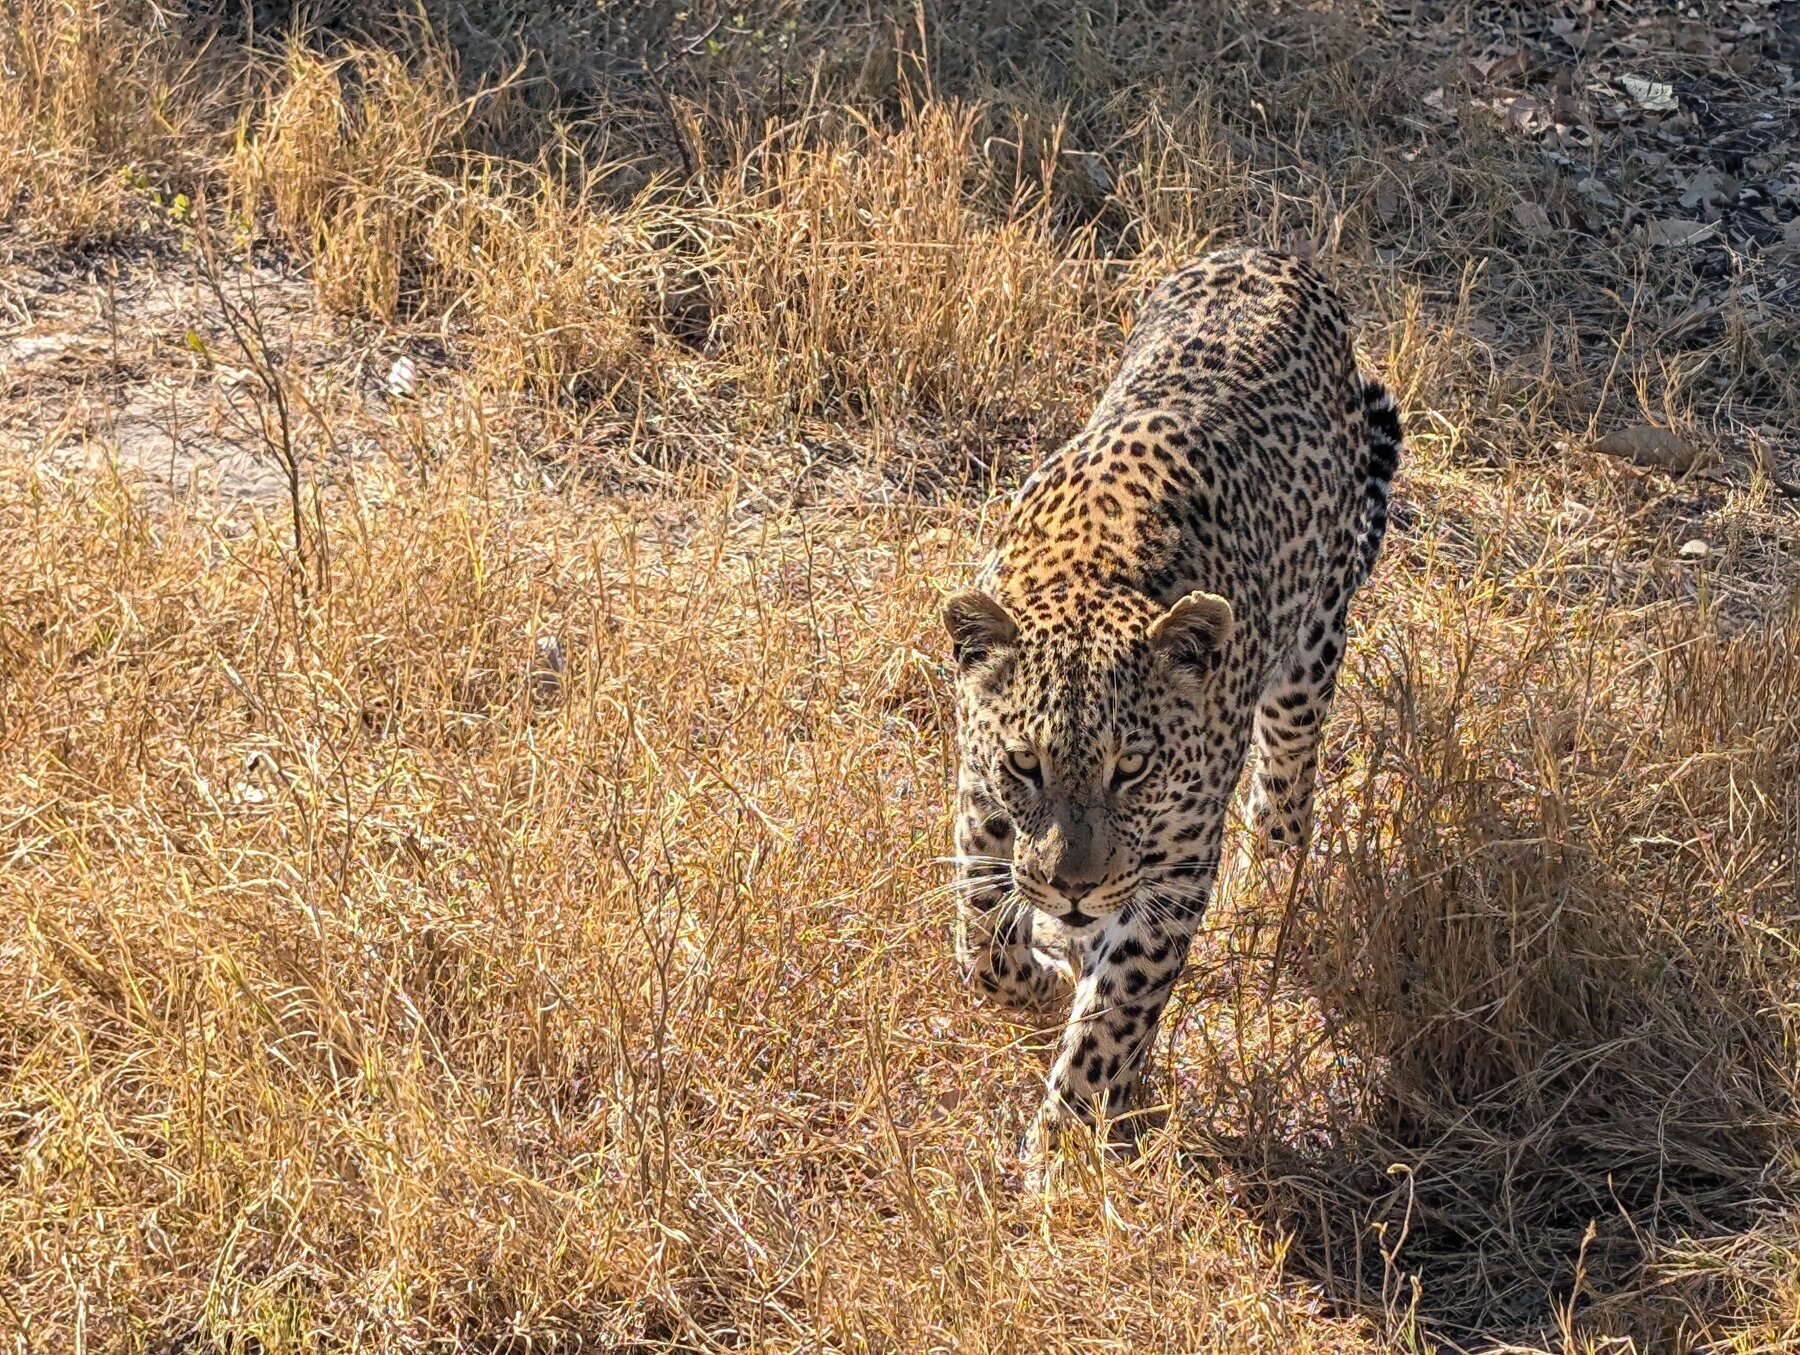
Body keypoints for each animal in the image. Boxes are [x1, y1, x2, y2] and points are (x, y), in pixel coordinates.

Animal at [940, 247, 1404, 1154]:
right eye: (1025, 764)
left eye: (1132, 769)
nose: (1074, 887)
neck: (1094, 574)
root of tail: (1270, 252)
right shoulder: (979, 799)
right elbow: (983, 941)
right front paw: (1040, 982)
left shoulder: (1179, 864)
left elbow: (1116, 1014)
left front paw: (1064, 1154)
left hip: (1312, 650)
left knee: (1286, 783)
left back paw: (1267, 888)